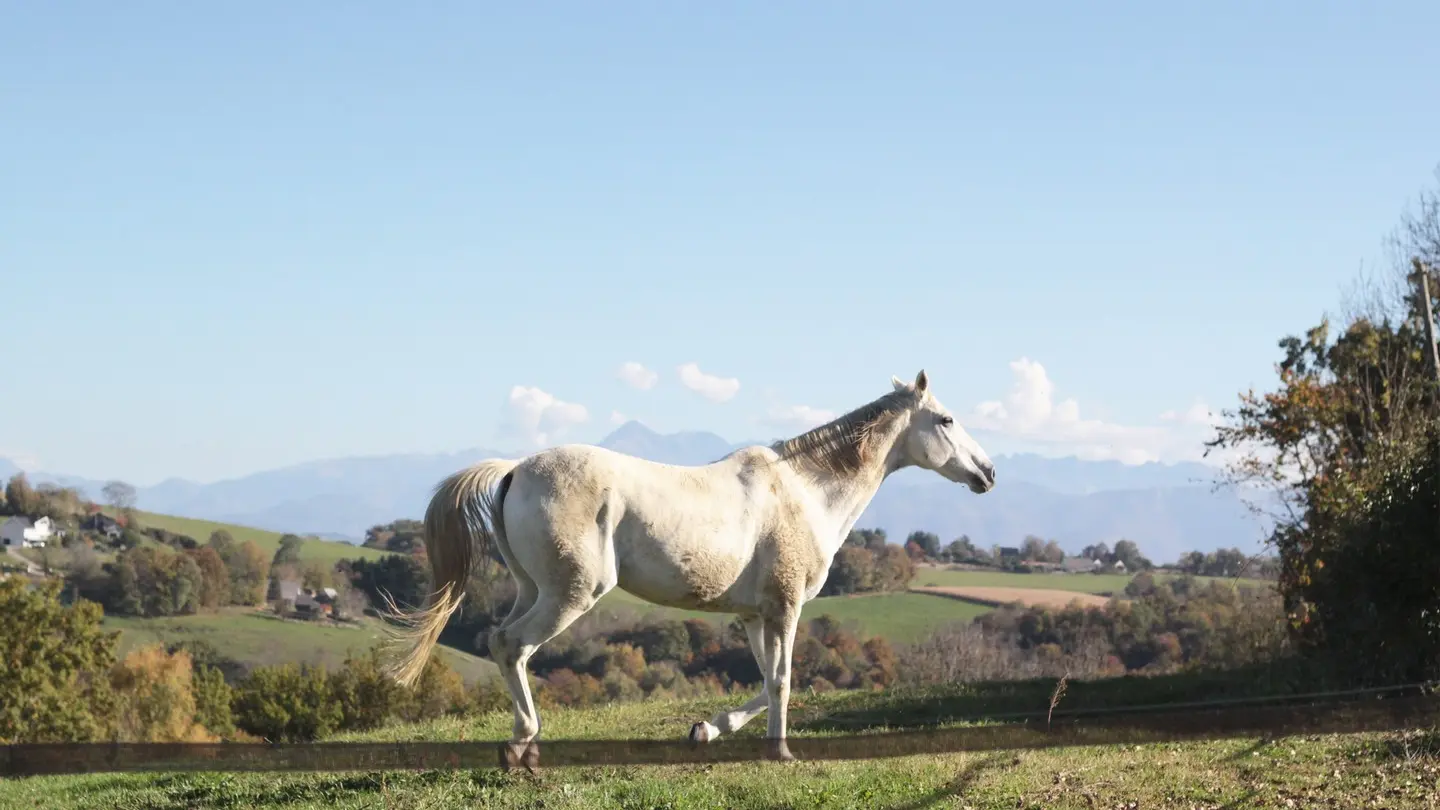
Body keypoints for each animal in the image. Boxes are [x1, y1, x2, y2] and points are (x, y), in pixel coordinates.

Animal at [385, 368, 990, 760]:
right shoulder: (786, 607)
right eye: (946, 419)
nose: (987, 472)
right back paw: (521, 745)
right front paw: (782, 754)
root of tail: (514, 470)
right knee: (512, 645)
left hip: (532, 589)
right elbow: (784, 680)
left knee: (500, 640)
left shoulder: (754, 614)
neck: (803, 490)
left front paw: (707, 730)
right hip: (571, 594)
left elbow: (765, 681)